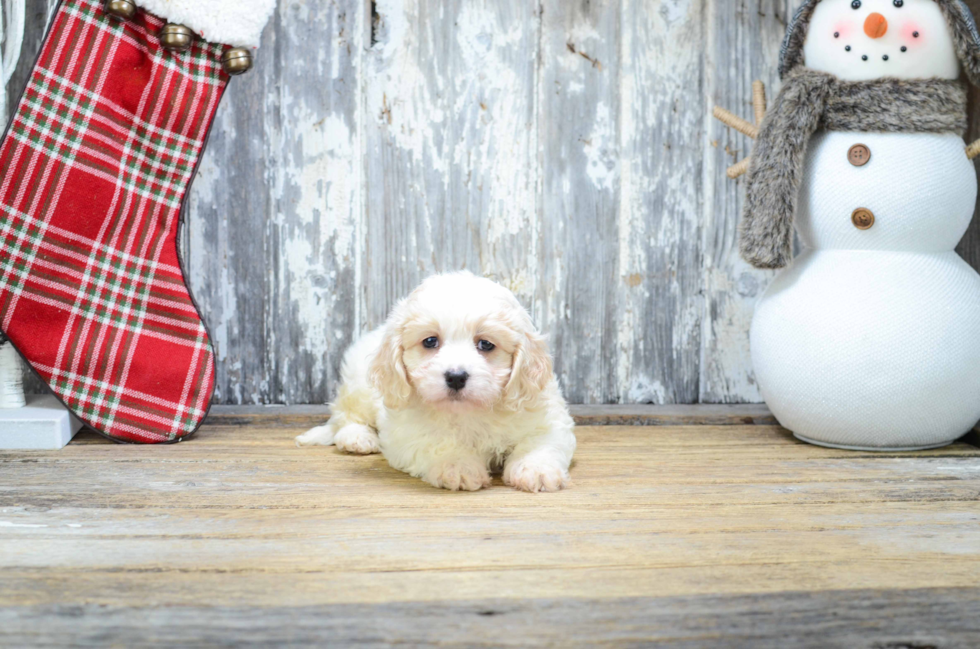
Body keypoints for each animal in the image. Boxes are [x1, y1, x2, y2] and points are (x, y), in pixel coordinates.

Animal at [294, 272, 580, 492]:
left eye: (486, 344)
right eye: (430, 341)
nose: (456, 376)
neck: (469, 412)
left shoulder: (546, 415)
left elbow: (541, 442)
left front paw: (536, 469)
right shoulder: (406, 433)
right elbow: (437, 444)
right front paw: (458, 465)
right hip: (358, 387)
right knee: (345, 416)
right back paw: (357, 438)